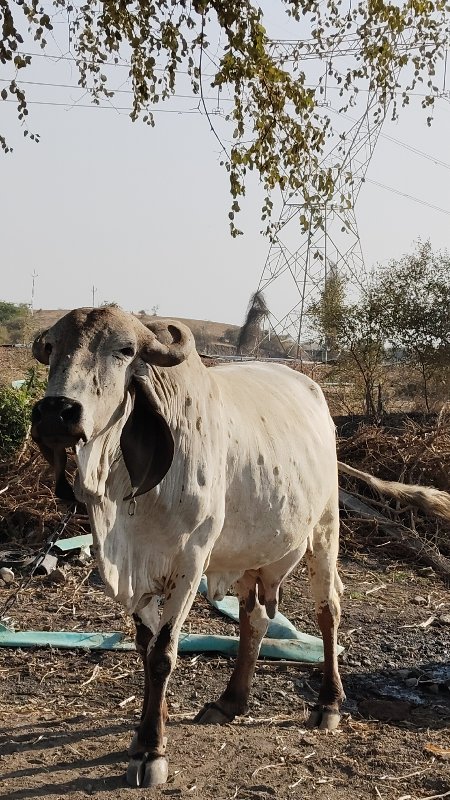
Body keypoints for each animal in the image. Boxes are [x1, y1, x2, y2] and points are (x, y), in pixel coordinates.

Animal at [30, 306, 344, 788]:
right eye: (51, 348)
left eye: (125, 350)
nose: (55, 413)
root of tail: (312, 392)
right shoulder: (134, 571)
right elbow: (146, 648)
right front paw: (147, 733)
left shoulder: (190, 562)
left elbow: (163, 654)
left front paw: (151, 751)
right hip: (249, 554)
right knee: (254, 619)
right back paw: (231, 700)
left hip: (325, 530)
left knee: (327, 612)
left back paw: (327, 703)